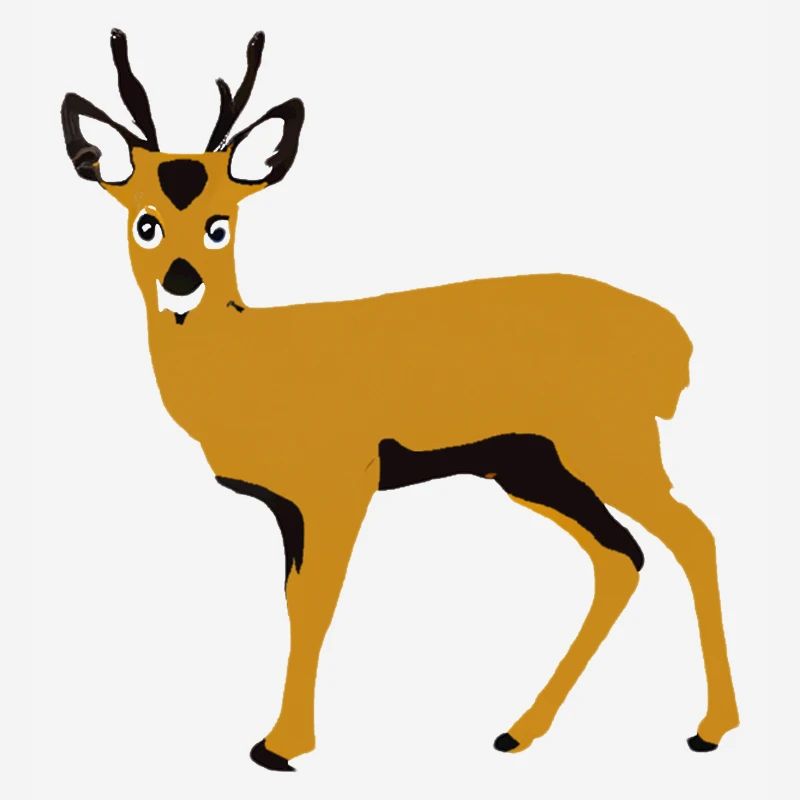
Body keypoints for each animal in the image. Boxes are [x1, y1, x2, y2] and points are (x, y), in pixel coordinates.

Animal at [61, 29, 739, 772]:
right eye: (145, 222)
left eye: (221, 223)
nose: (181, 284)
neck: (252, 369)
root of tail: (674, 340)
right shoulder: (289, 503)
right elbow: (292, 600)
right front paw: (280, 739)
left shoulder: (342, 478)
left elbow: (316, 602)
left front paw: (281, 746)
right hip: (533, 468)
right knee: (622, 557)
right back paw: (517, 730)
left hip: (610, 443)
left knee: (693, 536)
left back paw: (709, 729)